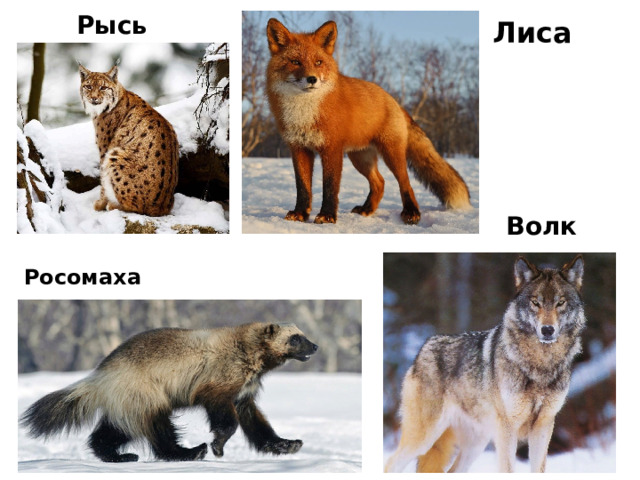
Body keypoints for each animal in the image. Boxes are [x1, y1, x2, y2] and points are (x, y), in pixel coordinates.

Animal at [20, 323, 318, 463]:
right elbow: (225, 416)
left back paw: (117, 455)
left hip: (128, 401)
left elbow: (254, 421)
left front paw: (287, 443)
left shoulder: (245, 390)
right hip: (145, 392)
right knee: (158, 427)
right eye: (296, 338)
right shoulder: (220, 379)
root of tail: (100, 374)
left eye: (302, 333)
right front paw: (217, 445)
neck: (249, 351)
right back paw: (188, 451)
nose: (315, 346)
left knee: (112, 431)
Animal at [265, 18, 472, 225]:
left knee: (405, 183)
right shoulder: (299, 148)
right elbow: (302, 187)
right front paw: (300, 213)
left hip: (391, 154)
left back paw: (411, 212)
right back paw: (367, 209)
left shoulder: (332, 149)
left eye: (318, 62)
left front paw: (327, 216)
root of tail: (393, 100)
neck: (304, 112)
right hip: (360, 158)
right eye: (295, 62)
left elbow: (330, 186)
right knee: (380, 182)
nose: (312, 79)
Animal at [385, 255, 586, 473]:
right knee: (390, 464)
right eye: (535, 302)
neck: (541, 364)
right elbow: (508, 469)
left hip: (475, 444)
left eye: (560, 303)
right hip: (424, 438)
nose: (547, 330)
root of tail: (424, 347)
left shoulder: (544, 426)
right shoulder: (507, 428)